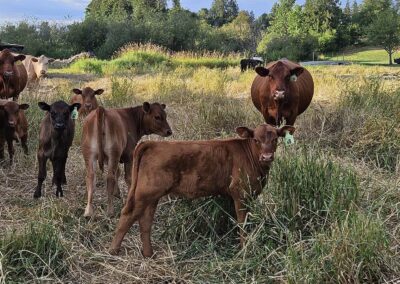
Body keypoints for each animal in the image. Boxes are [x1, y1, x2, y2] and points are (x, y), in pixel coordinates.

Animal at [109, 123, 294, 256]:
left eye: (275, 139)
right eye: (256, 140)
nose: (267, 157)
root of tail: (152, 143)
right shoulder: (240, 193)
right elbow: (242, 223)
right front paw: (244, 250)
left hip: (152, 195)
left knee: (145, 220)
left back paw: (149, 254)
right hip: (146, 192)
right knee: (128, 215)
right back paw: (113, 250)